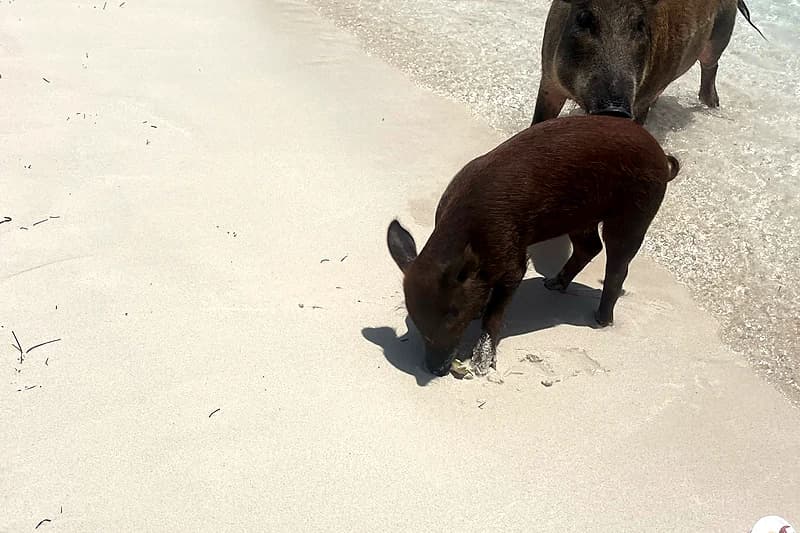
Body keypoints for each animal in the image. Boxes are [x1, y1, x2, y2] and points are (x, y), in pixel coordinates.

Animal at [387, 115, 680, 377]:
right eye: (413, 316)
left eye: (452, 314)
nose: (434, 369)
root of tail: (661, 155)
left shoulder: (513, 259)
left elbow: (496, 311)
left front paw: (481, 365)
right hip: (578, 217)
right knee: (590, 247)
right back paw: (554, 284)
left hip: (637, 212)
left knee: (618, 264)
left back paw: (600, 320)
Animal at [532, 0, 765, 124]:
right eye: (583, 18)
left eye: (640, 24)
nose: (616, 109)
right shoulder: (548, 79)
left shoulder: (641, 101)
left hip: (721, 33)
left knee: (710, 64)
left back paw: (713, 105)